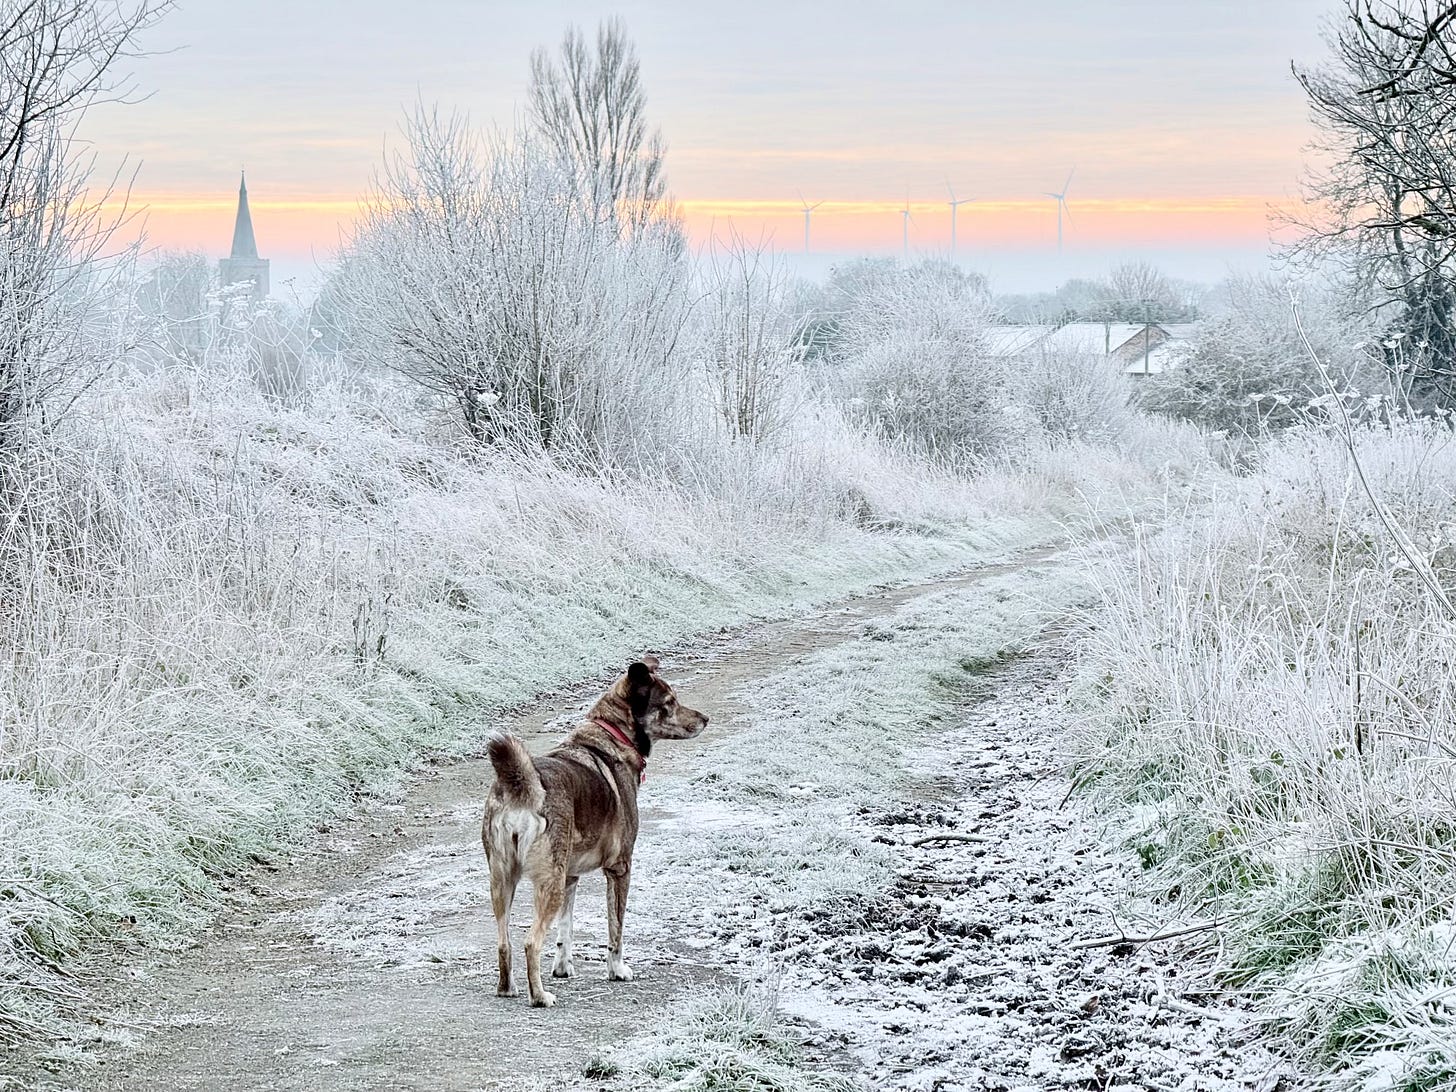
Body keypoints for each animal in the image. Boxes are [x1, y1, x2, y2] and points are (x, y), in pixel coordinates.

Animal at [483, 658, 704, 1007]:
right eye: (670, 702)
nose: (705, 719)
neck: (612, 737)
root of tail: (523, 788)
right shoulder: (619, 869)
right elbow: (616, 929)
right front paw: (617, 970)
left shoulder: (570, 877)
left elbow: (566, 929)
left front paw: (563, 967)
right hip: (548, 883)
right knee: (531, 942)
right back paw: (540, 996)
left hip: (503, 880)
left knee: (504, 942)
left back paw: (508, 988)